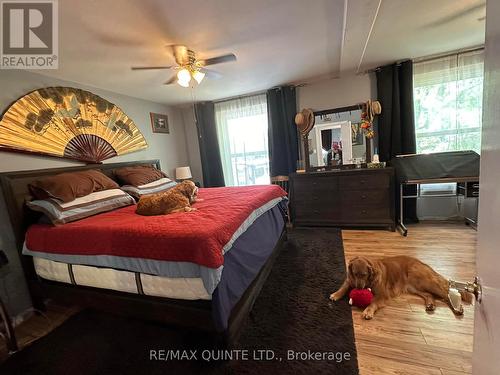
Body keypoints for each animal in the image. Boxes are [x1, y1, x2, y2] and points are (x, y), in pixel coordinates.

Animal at [328, 256, 472, 320]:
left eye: (364, 275)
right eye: (355, 273)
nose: (358, 289)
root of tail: (421, 262)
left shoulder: (382, 295)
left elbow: (373, 302)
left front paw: (368, 311)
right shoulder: (350, 280)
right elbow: (344, 286)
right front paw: (336, 294)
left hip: (424, 280)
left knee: (445, 291)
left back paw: (458, 308)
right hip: (415, 286)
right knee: (429, 295)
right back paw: (430, 304)